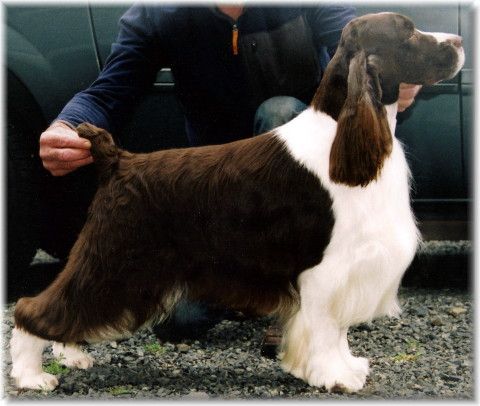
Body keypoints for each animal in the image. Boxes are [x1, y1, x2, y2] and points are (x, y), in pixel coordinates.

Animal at [10, 12, 464, 393]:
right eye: (408, 32)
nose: (459, 40)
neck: (341, 134)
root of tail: (116, 159)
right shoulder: (325, 268)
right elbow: (324, 327)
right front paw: (333, 376)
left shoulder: (344, 266)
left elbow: (335, 330)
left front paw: (347, 367)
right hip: (115, 257)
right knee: (34, 307)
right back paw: (33, 376)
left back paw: (71, 354)